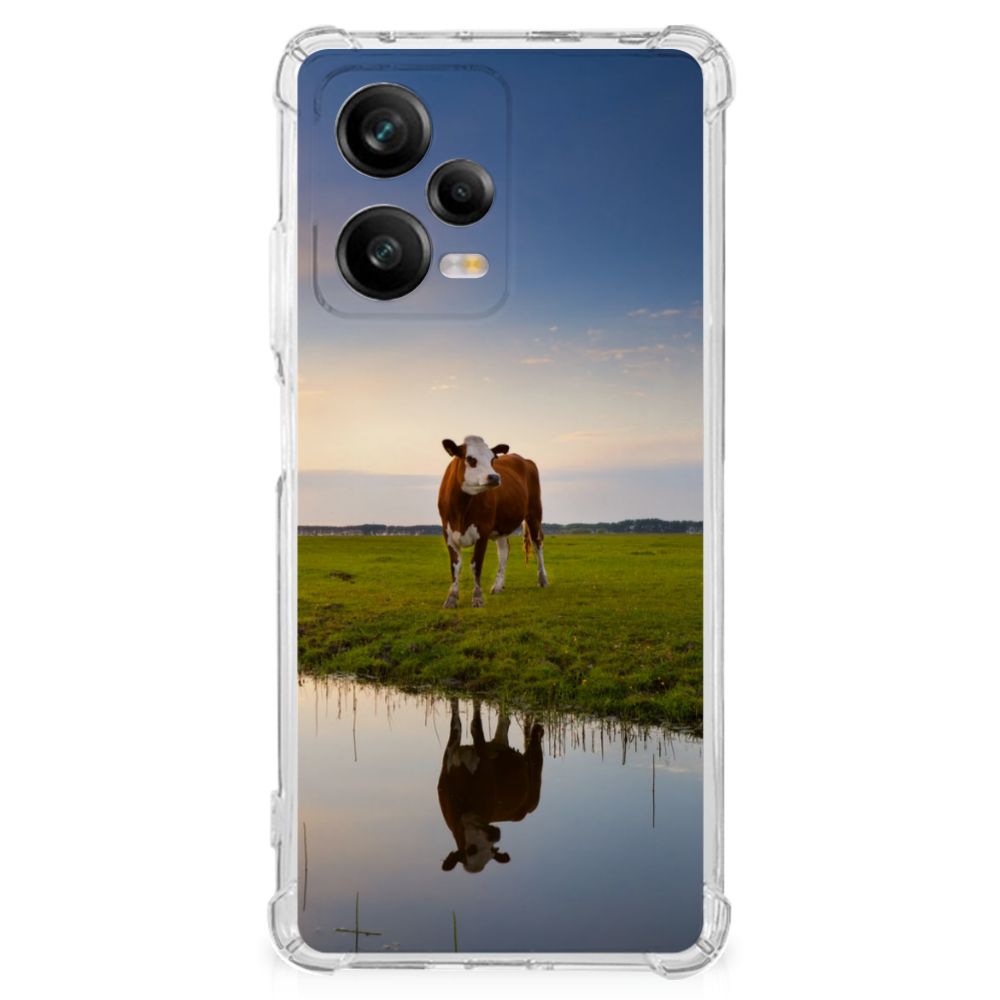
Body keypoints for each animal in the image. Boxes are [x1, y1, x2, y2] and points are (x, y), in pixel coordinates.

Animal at [437, 698, 544, 873]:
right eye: (470, 849)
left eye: (492, 850)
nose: (496, 835)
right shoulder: (449, 756)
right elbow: (456, 722)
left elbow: (475, 725)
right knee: (504, 722)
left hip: (534, 779)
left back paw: (538, 729)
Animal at [438, 435, 548, 609]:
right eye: (470, 459)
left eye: (492, 459)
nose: (495, 477)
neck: (461, 509)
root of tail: (524, 459)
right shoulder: (448, 533)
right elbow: (455, 566)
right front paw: (451, 598)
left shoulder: (482, 531)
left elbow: (476, 564)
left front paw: (477, 597)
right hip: (501, 525)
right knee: (504, 551)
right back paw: (498, 586)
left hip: (534, 513)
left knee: (538, 543)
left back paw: (542, 579)